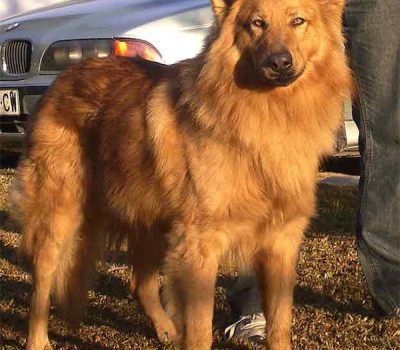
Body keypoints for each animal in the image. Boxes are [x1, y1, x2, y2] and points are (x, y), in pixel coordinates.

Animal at [12, 0, 350, 350]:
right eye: (257, 24)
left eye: (298, 21)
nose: (280, 62)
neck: (265, 114)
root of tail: (64, 77)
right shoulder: (199, 246)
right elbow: (200, 329)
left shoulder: (280, 242)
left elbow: (279, 326)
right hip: (59, 216)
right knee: (40, 283)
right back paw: (38, 340)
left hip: (150, 222)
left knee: (140, 284)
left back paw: (165, 329)